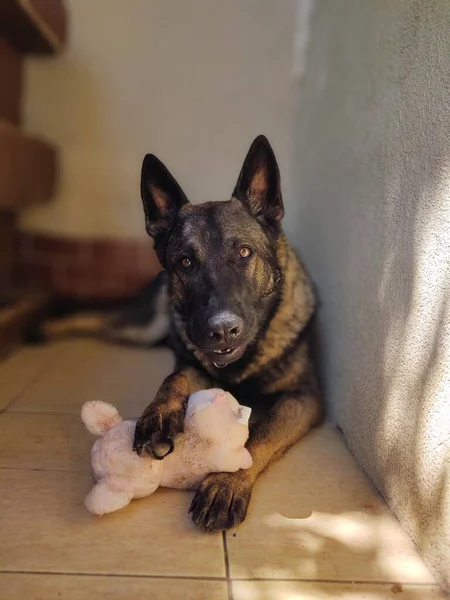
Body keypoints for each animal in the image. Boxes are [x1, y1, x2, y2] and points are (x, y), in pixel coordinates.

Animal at [31, 135, 322, 528]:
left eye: (245, 253)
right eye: (185, 261)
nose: (222, 331)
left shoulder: (302, 398)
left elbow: (257, 435)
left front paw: (226, 482)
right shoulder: (192, 364)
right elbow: (174, 378)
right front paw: (158, 415)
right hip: (140, 327)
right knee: (102, 320)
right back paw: (48, 324)